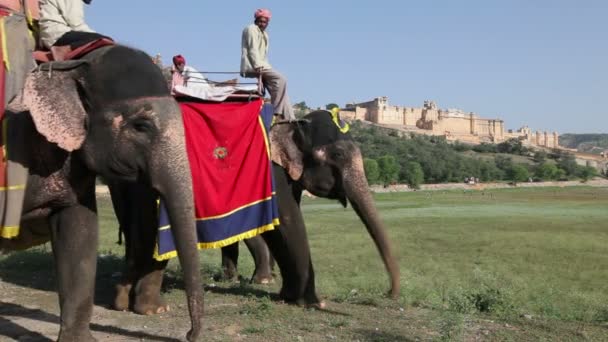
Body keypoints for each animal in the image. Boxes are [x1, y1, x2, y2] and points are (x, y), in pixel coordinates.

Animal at [109, 109, 402, 310]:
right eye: (338, 155)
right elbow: (287, 220)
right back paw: (149, 307)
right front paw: (311, 302)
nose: (388, 294)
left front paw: (284, 294)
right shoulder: (270, 169)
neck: (291, 124)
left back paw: (127, 301)